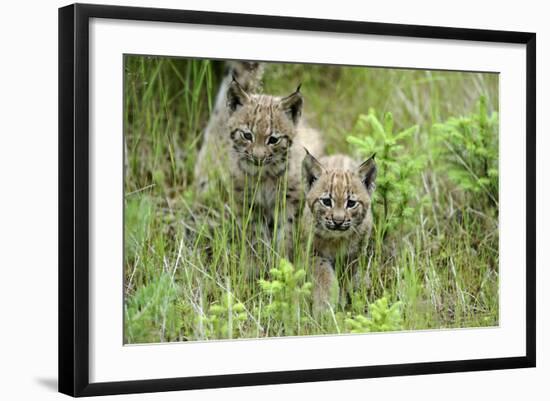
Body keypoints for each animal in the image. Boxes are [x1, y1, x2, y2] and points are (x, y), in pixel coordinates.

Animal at [304, 152, 378, 310]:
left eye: (351, 203)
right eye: (326, 201)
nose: (338, 221)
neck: (336, 238)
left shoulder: (354, 255)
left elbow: (346, 277)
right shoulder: (313, 252)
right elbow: (323, 274)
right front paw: (324, 305)